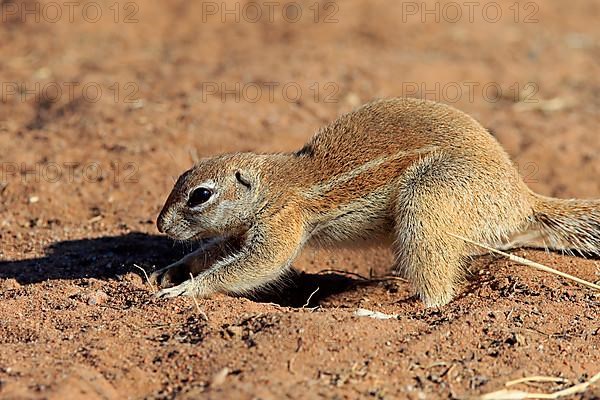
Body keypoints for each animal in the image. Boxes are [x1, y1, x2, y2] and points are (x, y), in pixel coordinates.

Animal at [151, 97, 600, 306]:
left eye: (200, 195)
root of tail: (521, 197)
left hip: (428, 196)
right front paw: (172, 271)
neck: (272, 184)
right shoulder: (242, 230)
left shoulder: (282, 222)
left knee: (440, 285)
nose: (160, 225)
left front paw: (188, 290)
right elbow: (214, 250)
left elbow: (258, 264)